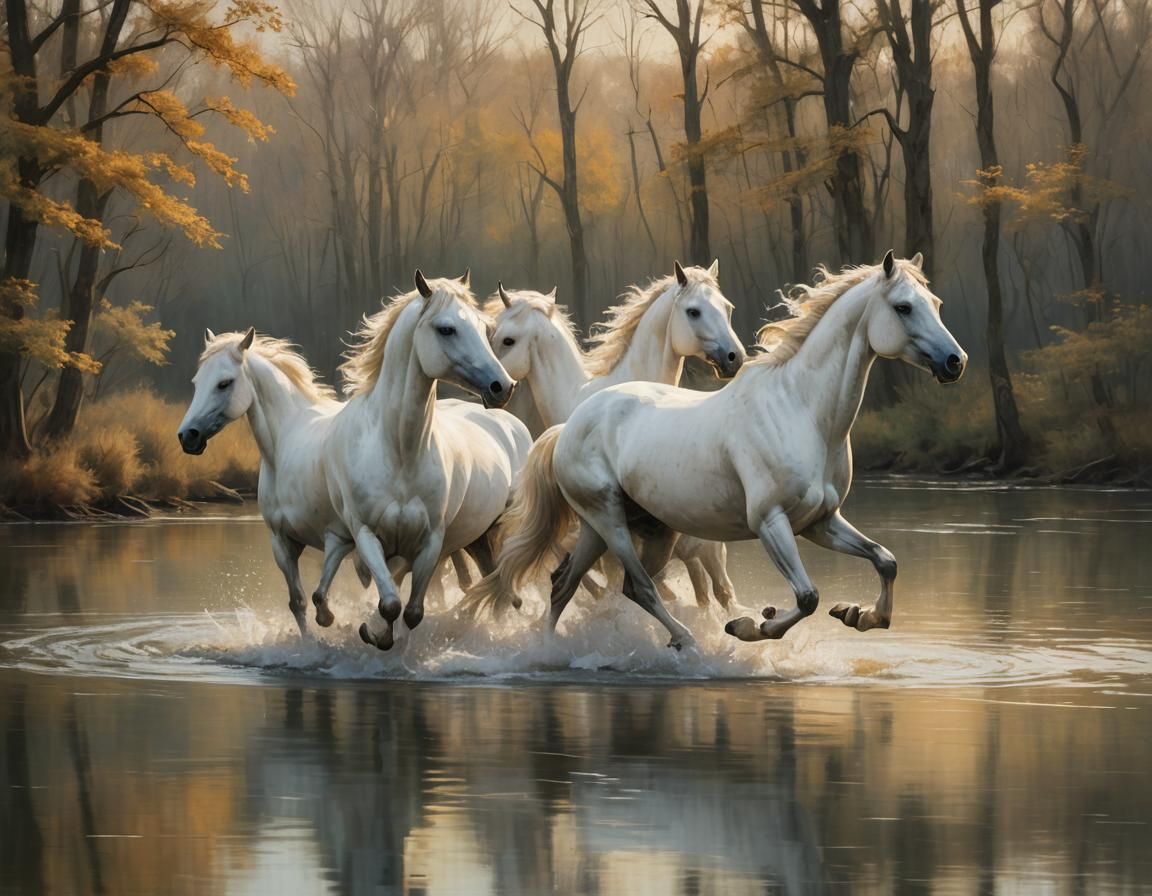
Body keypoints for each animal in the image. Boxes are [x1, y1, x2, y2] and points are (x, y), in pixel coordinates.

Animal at [328, 271, 531, 650]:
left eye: (484, 328)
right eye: (446, 329)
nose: (503, 386)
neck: (400, 455)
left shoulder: (430, 543)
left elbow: (411, 611)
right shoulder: (367, 536)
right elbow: (389, 601)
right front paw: (373, 634)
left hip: (495, 530)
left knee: (499, 585)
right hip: (478, 539)